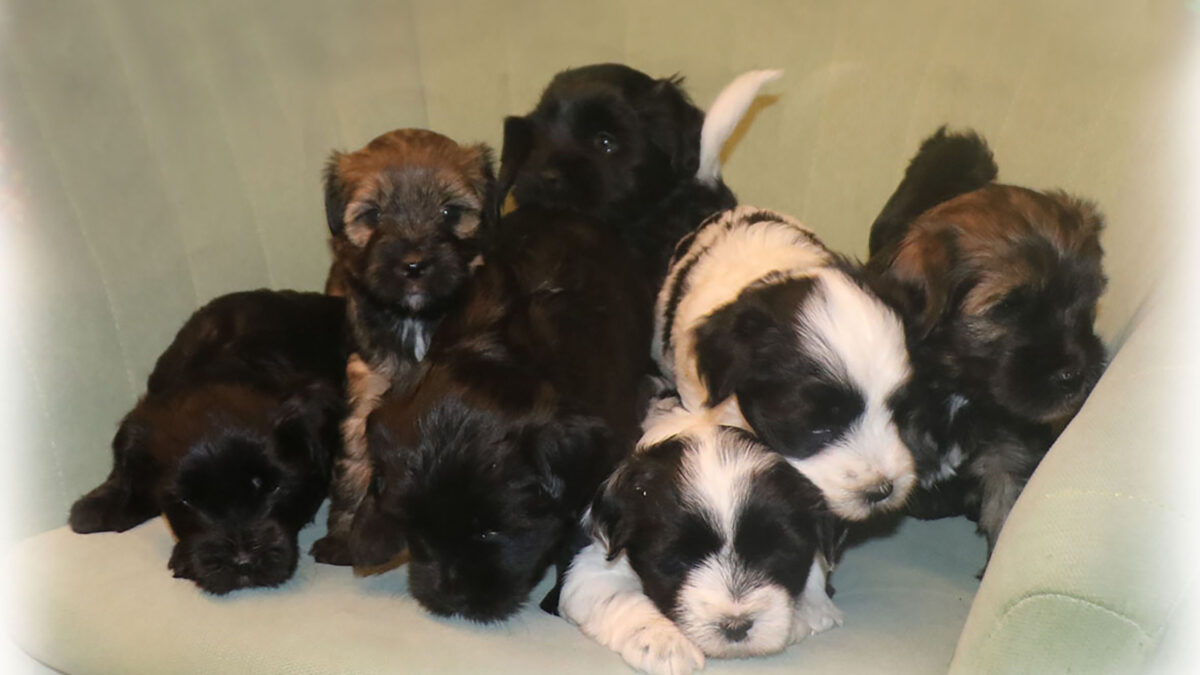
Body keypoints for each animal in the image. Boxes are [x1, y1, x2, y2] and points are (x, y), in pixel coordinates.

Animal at [312, 128, 496, 564]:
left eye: (449, 212)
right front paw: (341, 537)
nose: (414, 264)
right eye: (373, 215)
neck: (417, 319)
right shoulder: (367, 388)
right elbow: (354, 464)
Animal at [346, 208, 655, 622]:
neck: (501, 349)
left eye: (491, 532)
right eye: (418, 528)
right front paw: (371, 530)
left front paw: (559, 592)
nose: (450, 599)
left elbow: (575, 530)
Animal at [560, 395, 844, 675]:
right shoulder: (591, 567)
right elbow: (620, 596)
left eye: (777, 553)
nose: (736, 626)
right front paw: (664, 643)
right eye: (677, 560)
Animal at [866, 127, 1108, 558]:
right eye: (1006, 308)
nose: (1074, 375)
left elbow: (1005, 511)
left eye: (1086, 300)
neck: (955, 390)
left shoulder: (1009, 451)